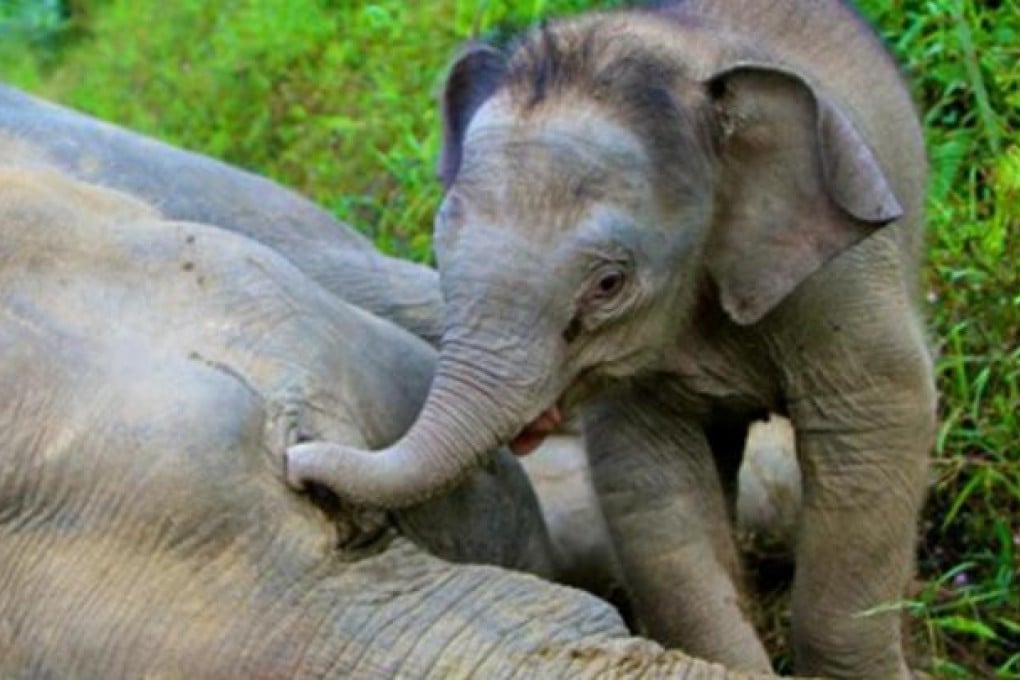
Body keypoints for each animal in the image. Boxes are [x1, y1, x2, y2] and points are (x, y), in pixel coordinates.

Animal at [287, 1, 936, 677]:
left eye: (608, 284)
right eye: (440, 252)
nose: (298, 465)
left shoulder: (842, 272)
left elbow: (875, 425)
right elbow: (648, 483)